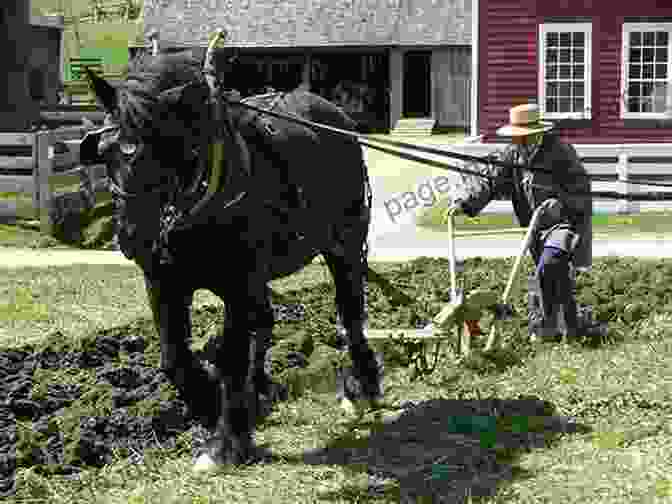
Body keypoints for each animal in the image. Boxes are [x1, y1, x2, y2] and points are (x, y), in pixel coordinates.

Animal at [80, 53, 384, 470]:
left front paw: (227, 442)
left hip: (345, 245)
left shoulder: (238, 285)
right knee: (266, 321)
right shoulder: (162, 282)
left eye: (168, 150)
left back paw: (361, 387)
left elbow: (232, 357)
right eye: (107, 150)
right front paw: (210, 405)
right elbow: (173, 357)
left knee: (349, 313)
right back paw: (260, 390)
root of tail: (335, 116)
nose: (131, 237)